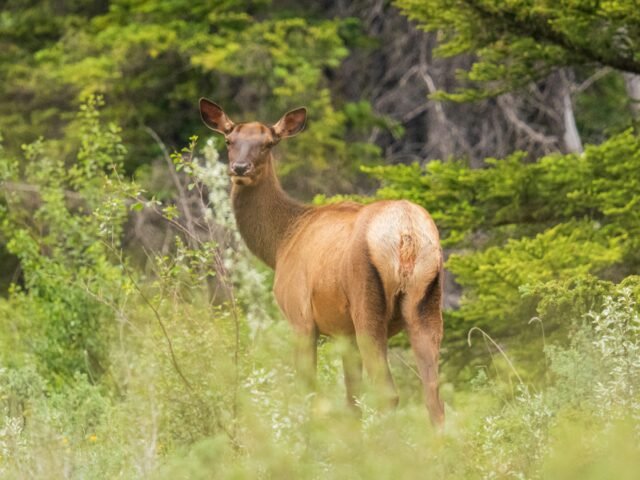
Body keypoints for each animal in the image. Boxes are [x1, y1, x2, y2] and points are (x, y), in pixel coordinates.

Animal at [200, 98, 444, 428]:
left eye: (268, 143)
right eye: (229, 140)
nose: (239, 168)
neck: (281, 242)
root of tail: (406, 234)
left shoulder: (299, 316)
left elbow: (308, 390)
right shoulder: (344, 334)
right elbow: (352, 399)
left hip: (366, 303)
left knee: (388, 393)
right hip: (427, 301)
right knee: (434, 397)